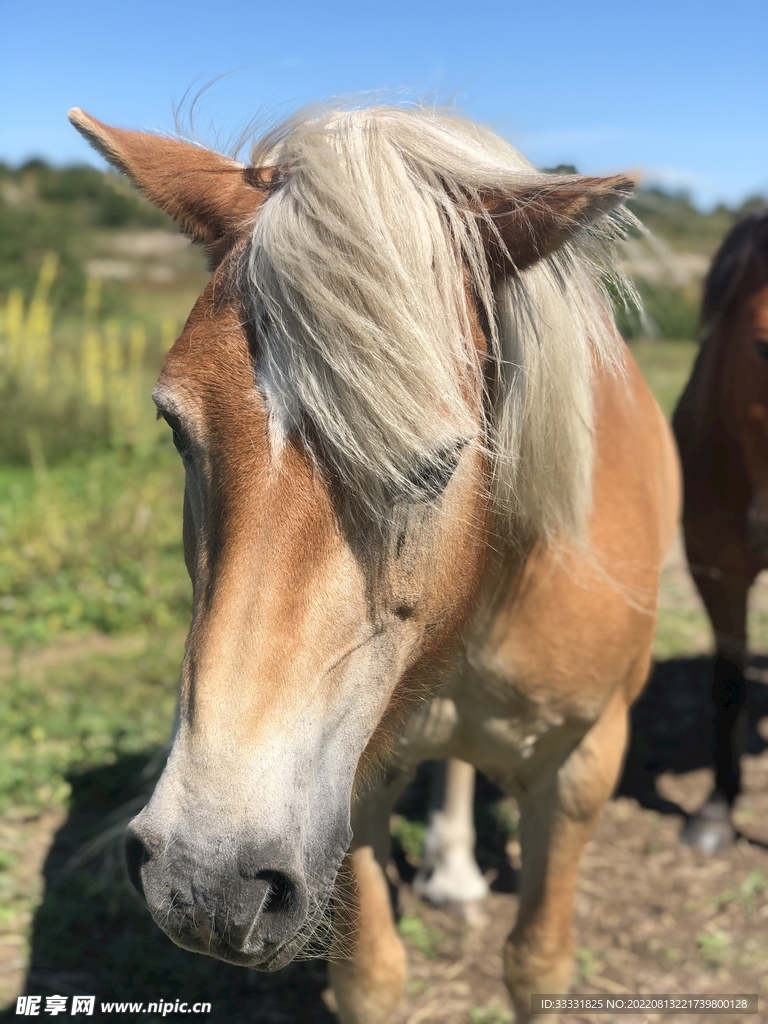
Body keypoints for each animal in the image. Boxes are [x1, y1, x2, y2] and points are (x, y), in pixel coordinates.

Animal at [69, 103, 680, 1023]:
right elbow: (372, 979)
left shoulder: (584, 766)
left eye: (440, 461)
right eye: (175, 427)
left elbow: (538, 966)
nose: (202, 879)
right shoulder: (345, 792)